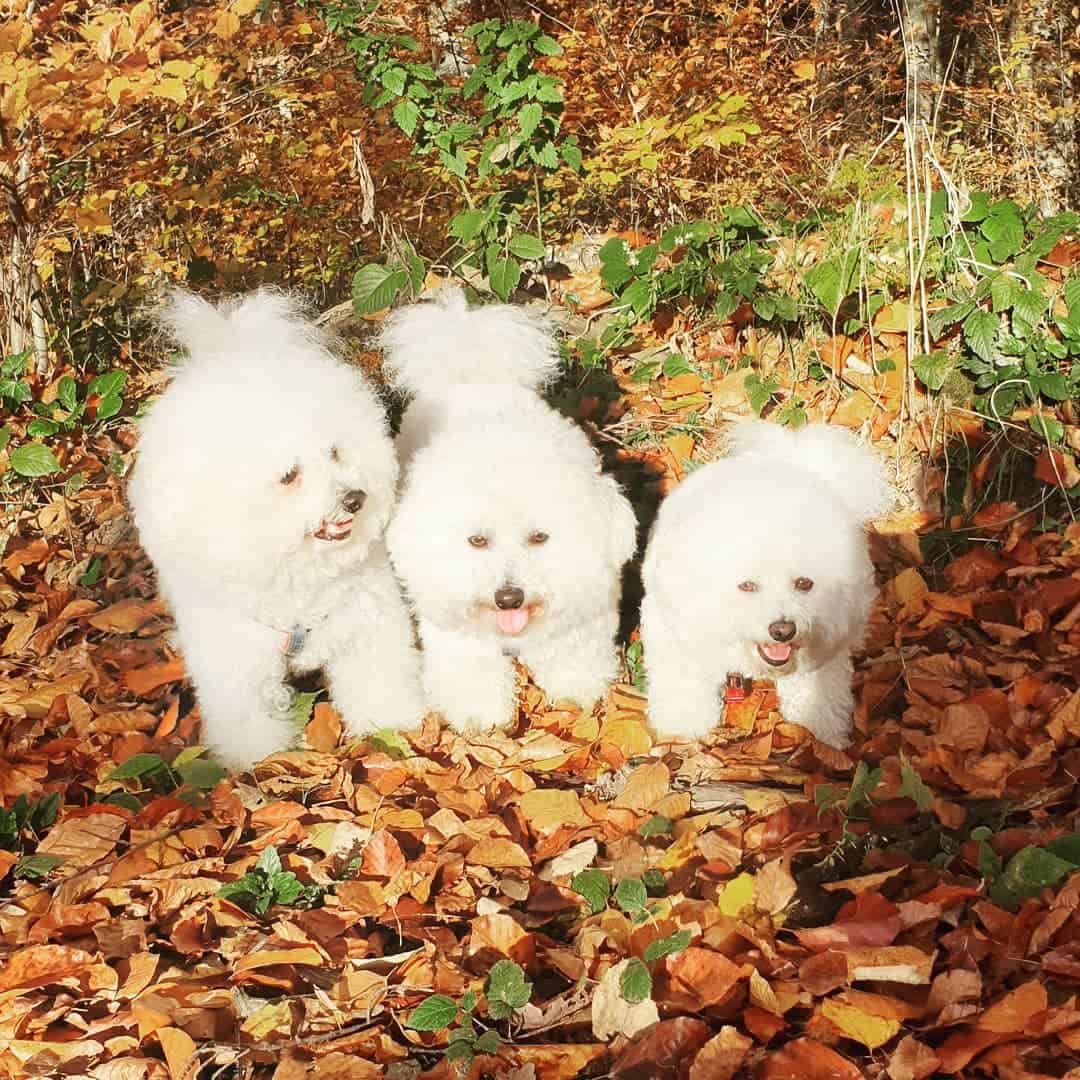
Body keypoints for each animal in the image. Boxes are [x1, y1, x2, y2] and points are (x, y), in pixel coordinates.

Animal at [128, 289, 423, 768]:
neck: (299, 575)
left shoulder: (366, 620)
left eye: (336, 452)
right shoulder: (238, 658)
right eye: (289, 476)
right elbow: (248, 715)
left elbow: (378, 676)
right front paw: (257, 760)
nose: (354, 499)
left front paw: (389, 722)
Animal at [380, 289, 635, 734]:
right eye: (477, 541)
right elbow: (470, 669)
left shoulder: (581, 614)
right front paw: (479, 712)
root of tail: (472, 377)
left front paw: (575, 689)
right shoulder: (457, 628)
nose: (508, 597)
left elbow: (572, 654)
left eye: (539, 537)